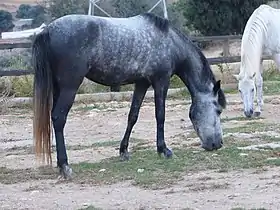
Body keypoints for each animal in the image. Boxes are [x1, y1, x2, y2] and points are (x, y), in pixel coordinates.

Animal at [31, 12, 226, 179]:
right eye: (218, 110)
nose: (217, 144)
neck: (170, 42)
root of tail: (48, 31)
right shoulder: (161, 81)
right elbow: (160, 116)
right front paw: (163, 150)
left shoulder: (142, 83)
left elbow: (133, 116)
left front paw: (123, 151)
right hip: (69, 87)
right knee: (59, 118)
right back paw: (65, 166)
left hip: (58, 87)